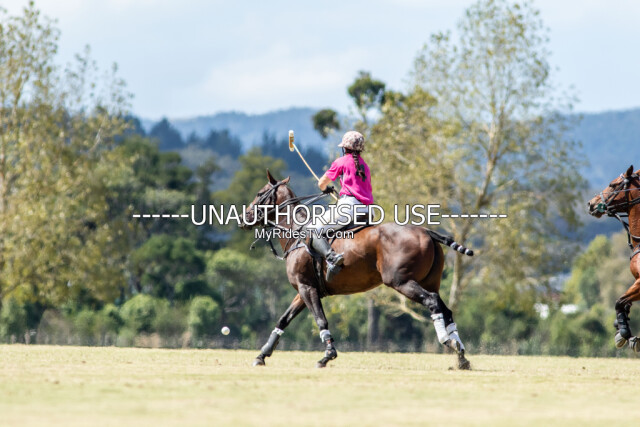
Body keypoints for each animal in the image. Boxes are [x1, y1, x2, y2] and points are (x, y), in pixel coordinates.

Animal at [239, 170, 474, 369]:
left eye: (259, 193)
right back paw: (461, 355)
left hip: (401, 281)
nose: (244, 218)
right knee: (446, 309)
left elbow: (320, 319)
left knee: (432, 302)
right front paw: (261, 355)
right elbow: (283, 319)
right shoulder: (304, 289)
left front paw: (328, 355)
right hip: (430, 281)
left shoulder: (307, 288)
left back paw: (449, 342)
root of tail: (426, 231)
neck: (297, 232)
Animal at [587, 165, 640, 351]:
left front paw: (623, 333)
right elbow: (623, 302)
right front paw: (621, 326)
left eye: (612, 184)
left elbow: (619, 301)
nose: (591, 203)